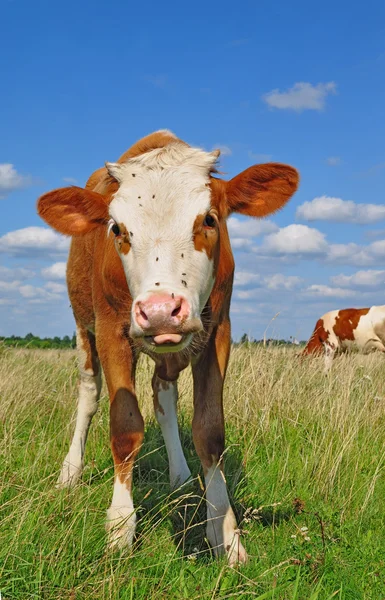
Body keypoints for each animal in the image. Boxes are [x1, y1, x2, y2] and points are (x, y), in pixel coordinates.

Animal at [37, 130, 298, 564]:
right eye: (117, 229)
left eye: (209, 219)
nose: (160, 312)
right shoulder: (110, 330)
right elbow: (124, 426)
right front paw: (120, 526)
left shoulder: (218, 331)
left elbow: (209, 430)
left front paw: (225, 532)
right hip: (83, 327)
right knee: (89, 393)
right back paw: (70, 472)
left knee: (163, 395)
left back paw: (179, 475)